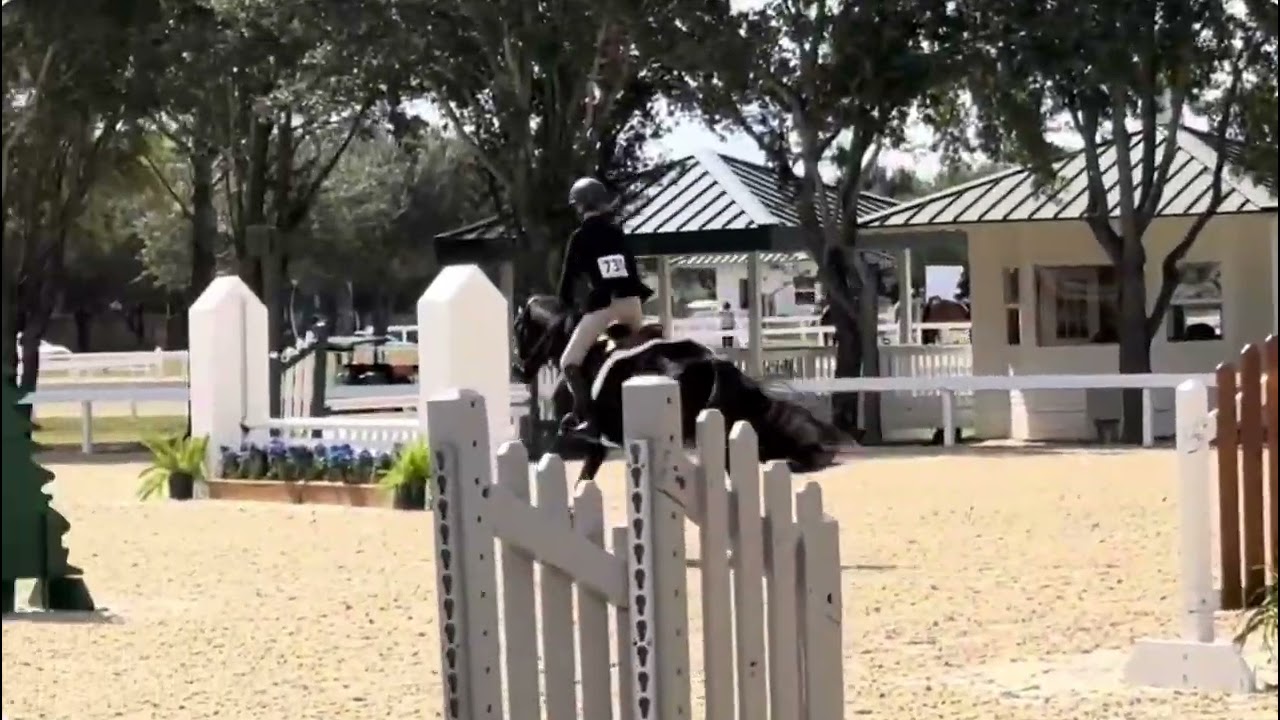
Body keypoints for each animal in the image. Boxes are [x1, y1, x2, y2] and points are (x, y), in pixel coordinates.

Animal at [512, 295, 848, 485]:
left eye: (518, 330)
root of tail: (711, 361)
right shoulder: (598, 444)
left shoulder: (582, 435)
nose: (518, 370)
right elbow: (583, 481)